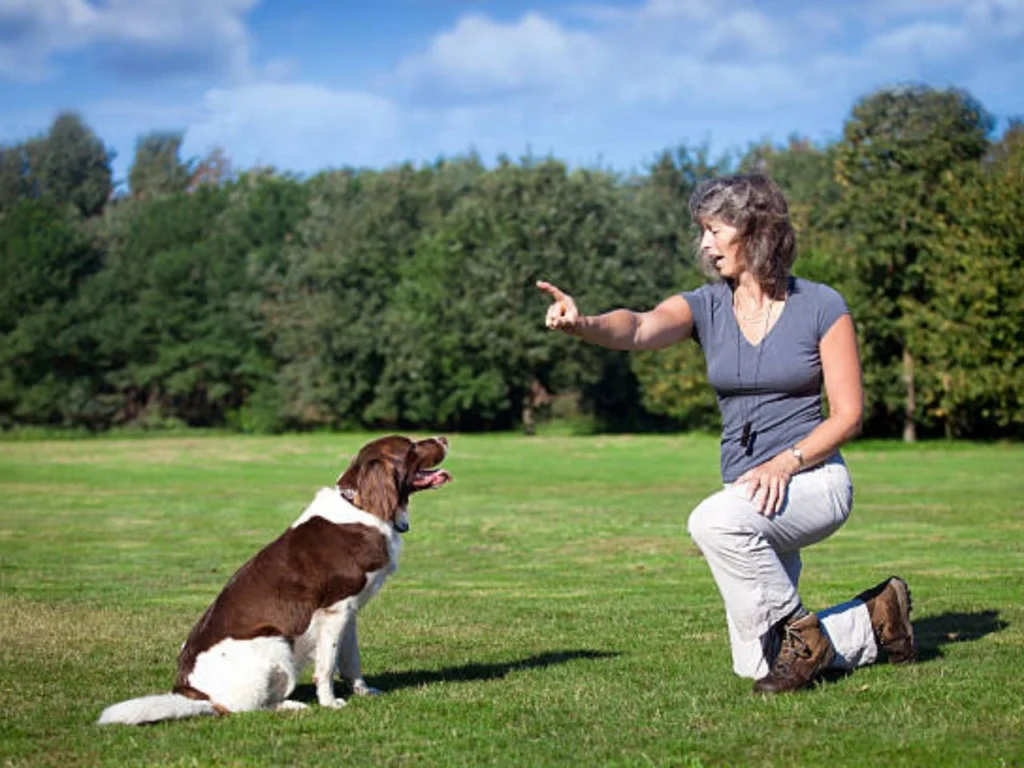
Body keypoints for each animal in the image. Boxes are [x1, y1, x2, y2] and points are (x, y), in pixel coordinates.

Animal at [97, 436, 450, 724]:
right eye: (411, 447)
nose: (444, 438)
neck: (362, 505)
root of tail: (192, 692)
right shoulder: (334, 609)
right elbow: (327, 665)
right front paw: (331, 703)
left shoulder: (349, 611)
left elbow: (351, 659)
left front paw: (362, 691)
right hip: (275, 645)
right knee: (241, 708)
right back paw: (291, 706)